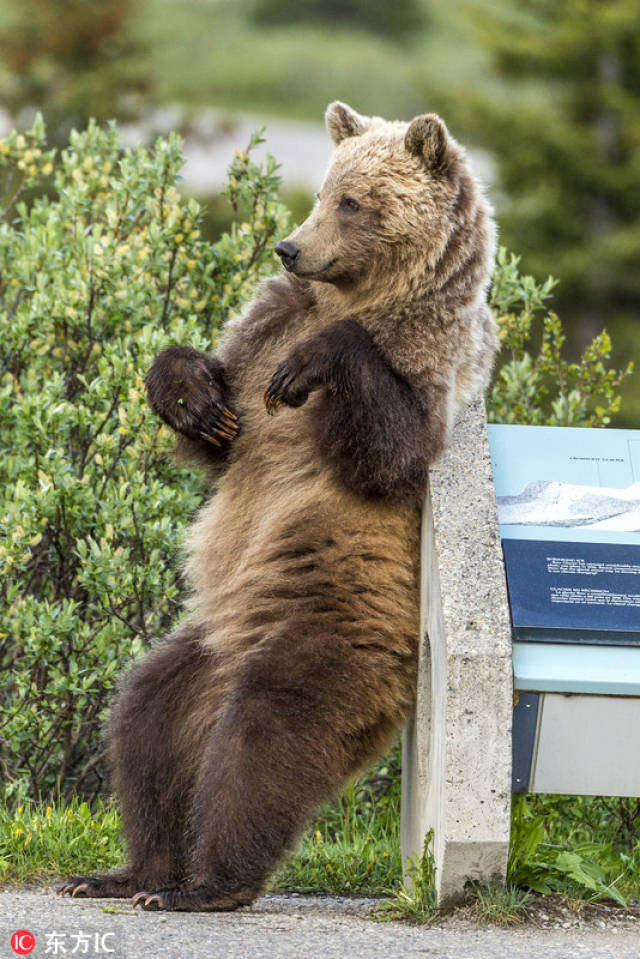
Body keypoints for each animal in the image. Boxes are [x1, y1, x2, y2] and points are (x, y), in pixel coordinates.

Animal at [60, 101, 498, 912]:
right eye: (324, 190)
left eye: (353, 201)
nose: (291, 247)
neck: (360, 294)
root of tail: (239, 654)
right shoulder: (266, 325)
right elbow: (223, 432)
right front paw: (192, 395)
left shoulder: (431, 364)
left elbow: (386, 451)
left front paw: (309, 368)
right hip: (208, 645)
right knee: (147, 718)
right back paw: (132, 870)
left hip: (335, 628)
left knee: (266, 731)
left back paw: (205, 885)